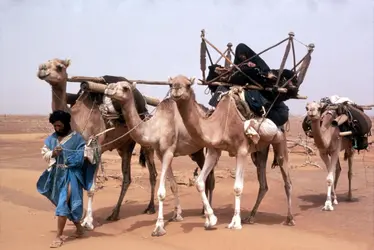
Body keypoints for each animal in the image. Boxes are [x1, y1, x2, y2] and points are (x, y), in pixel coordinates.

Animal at [38, 57, 159, 229]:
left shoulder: (96, 149)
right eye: (45, 62)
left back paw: (150, 208)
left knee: (152, 173)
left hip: (146, 140)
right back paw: (114, 214)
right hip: (125, 146)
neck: (77, 119)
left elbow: (91, 187)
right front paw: (76, 217)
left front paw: (88, 221)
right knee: (127, 177)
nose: (41, 69)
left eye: (59, 66)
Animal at [103, 81, 218, 236]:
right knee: (208, 175)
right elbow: (174, 186)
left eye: (125, 88)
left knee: (210, 177)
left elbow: (162, 192)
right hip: (197, 151)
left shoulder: (168, 151)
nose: (108, 89)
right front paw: (177, 215)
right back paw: (203, 211)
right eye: (112, 84)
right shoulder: (161, 154)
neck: (154, 128)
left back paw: (208, 214)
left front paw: (158, 227)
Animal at [169, 74, 296, 230]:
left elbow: (237, 187)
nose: (176, 90)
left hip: (280, 140)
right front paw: (210, 220)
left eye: (188, 84)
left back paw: (289, 218)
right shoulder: (213, 150)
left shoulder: (241, 150)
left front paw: (235, 222)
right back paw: (251, 217)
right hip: (261, 149)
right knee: (263, 183)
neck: (219, 124)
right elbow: (199, 182)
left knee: (287, 179)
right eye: (171, 84)